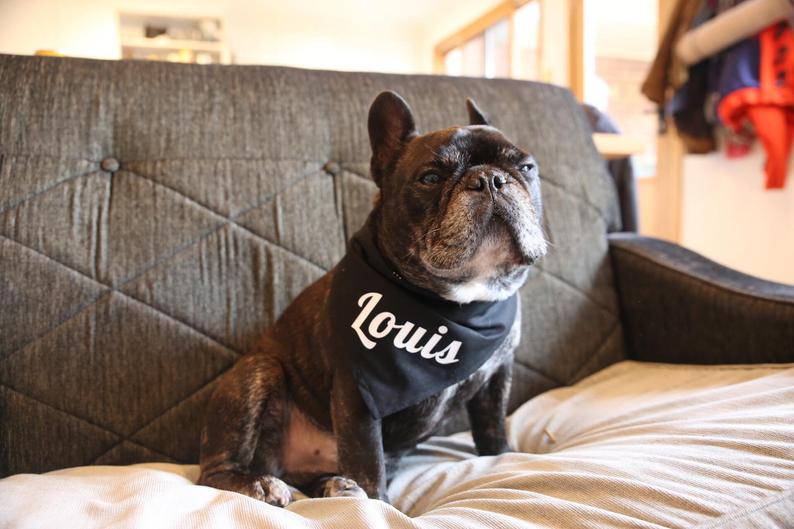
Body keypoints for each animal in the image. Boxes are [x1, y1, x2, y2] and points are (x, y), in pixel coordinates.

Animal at [197, 89, 544, 504]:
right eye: (430, 178)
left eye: (526, 167)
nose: (489, 179)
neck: (459, 300)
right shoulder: (359, 395)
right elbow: (367, 461)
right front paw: (380, 506)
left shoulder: (497, 376)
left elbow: (491, 426)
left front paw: (505, 456)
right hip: (258, 372)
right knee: (214, 471)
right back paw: (259, 483)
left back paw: (331, 485)